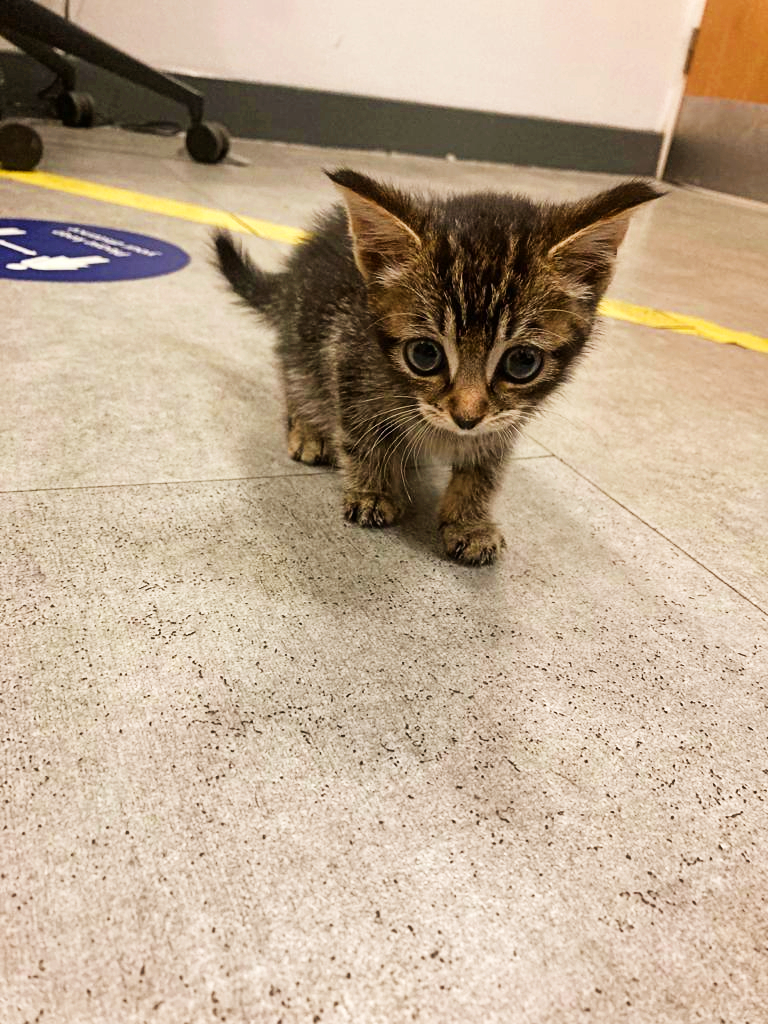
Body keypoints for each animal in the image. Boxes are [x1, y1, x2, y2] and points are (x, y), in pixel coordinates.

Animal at [213, 169, 660, 565]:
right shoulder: (349, 356)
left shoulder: (506, 419)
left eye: (522, 362)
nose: (466, 418)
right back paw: (308, 428)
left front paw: (469, 522)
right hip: (305, 334)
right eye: (425, 356)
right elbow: (360, 434)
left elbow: (485, 468)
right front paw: (372, 490)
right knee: (296, 373)